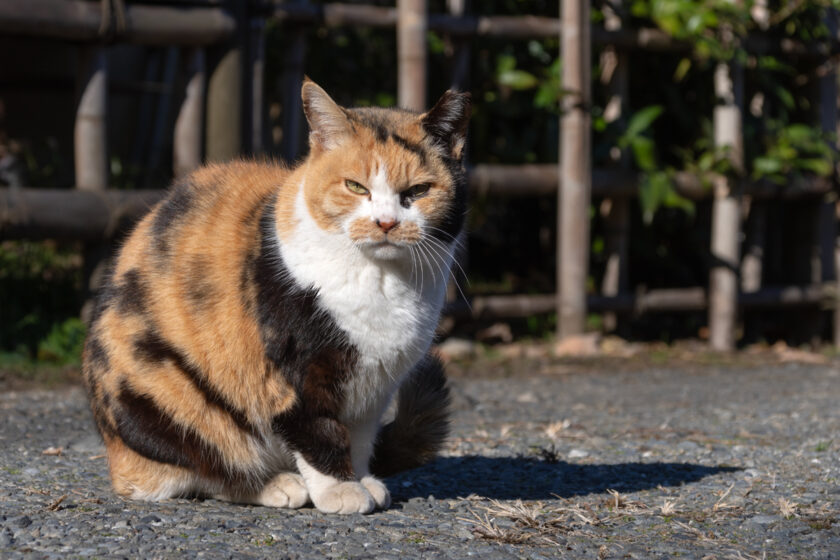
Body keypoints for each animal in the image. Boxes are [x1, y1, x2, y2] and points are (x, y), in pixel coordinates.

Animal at [81, 80, 470, 516]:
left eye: (418, 191)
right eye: (356, 186)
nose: (385, 222)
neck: (383, 283)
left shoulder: (375, 387)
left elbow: (359, 437)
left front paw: (362, 478)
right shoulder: (295, 373)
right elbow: (320, 431)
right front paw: (341, 491)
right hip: (162, 390)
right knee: (198, 467)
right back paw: (277, 484)